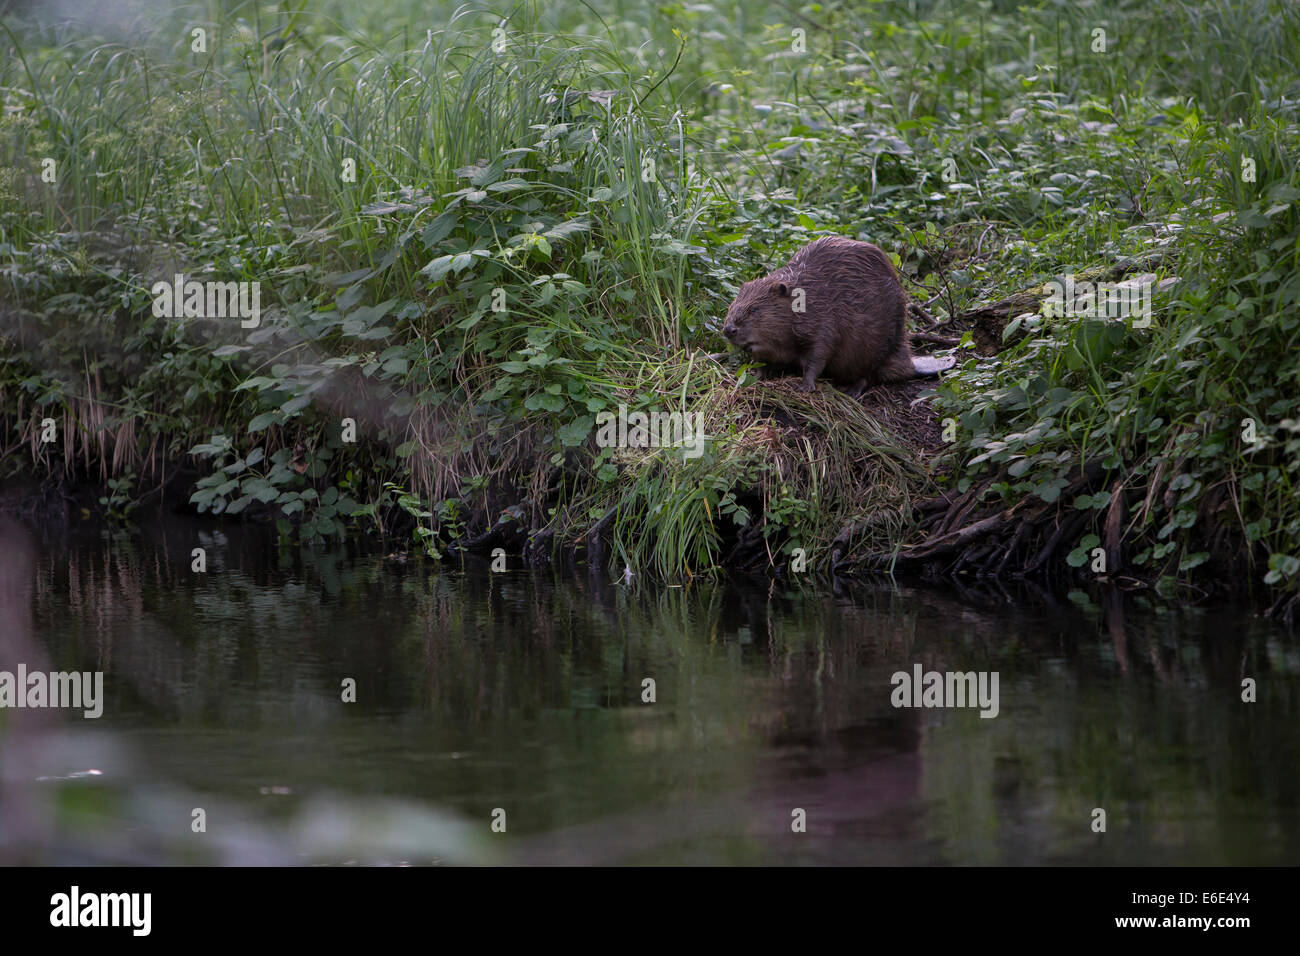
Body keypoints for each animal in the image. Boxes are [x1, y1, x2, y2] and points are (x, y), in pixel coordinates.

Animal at [722, 236, 956, 395]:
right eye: (731, 306)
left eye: (754, 310)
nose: (728, 329)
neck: (805, 300)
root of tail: (910, 363)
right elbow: (764, 361)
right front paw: (756, 376)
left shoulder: (824, 321)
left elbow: (819, 355)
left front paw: (805, 385)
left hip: (873, 347)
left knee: (867, 375)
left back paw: (851, 390)